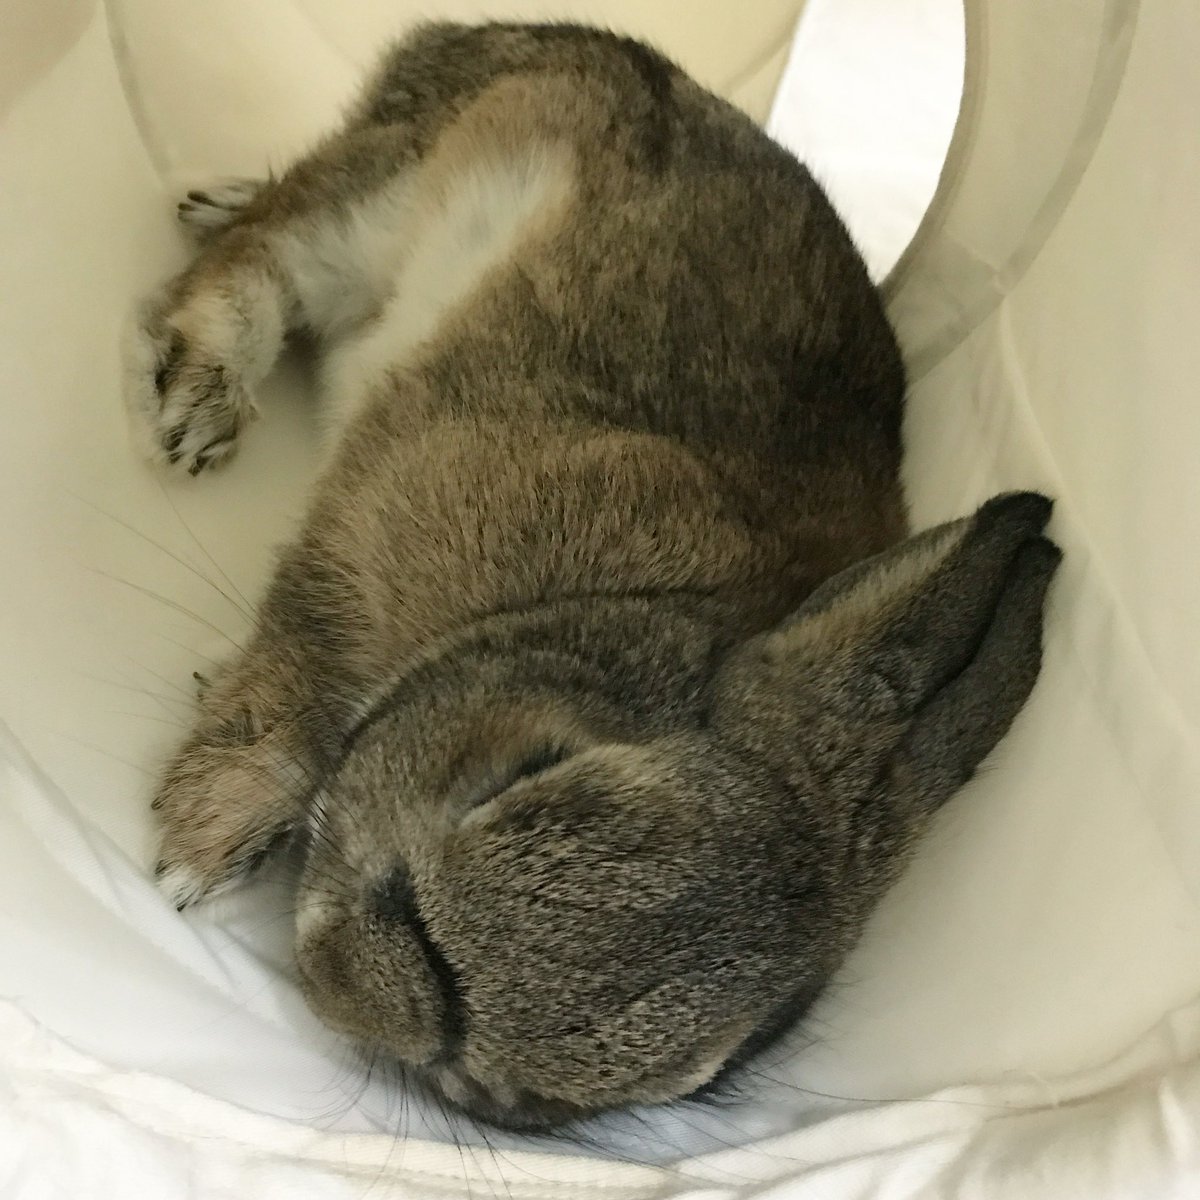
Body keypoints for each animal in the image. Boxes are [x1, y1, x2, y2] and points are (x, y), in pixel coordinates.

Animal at [123, 22, 1060, 1131]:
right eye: (536, 766)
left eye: (704, 1076)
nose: (342, 981)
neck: (597, 606)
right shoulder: (374, 530)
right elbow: (301, 671)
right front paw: (196, 844)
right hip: (399, 192)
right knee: (268, 247)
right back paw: (201, 395)